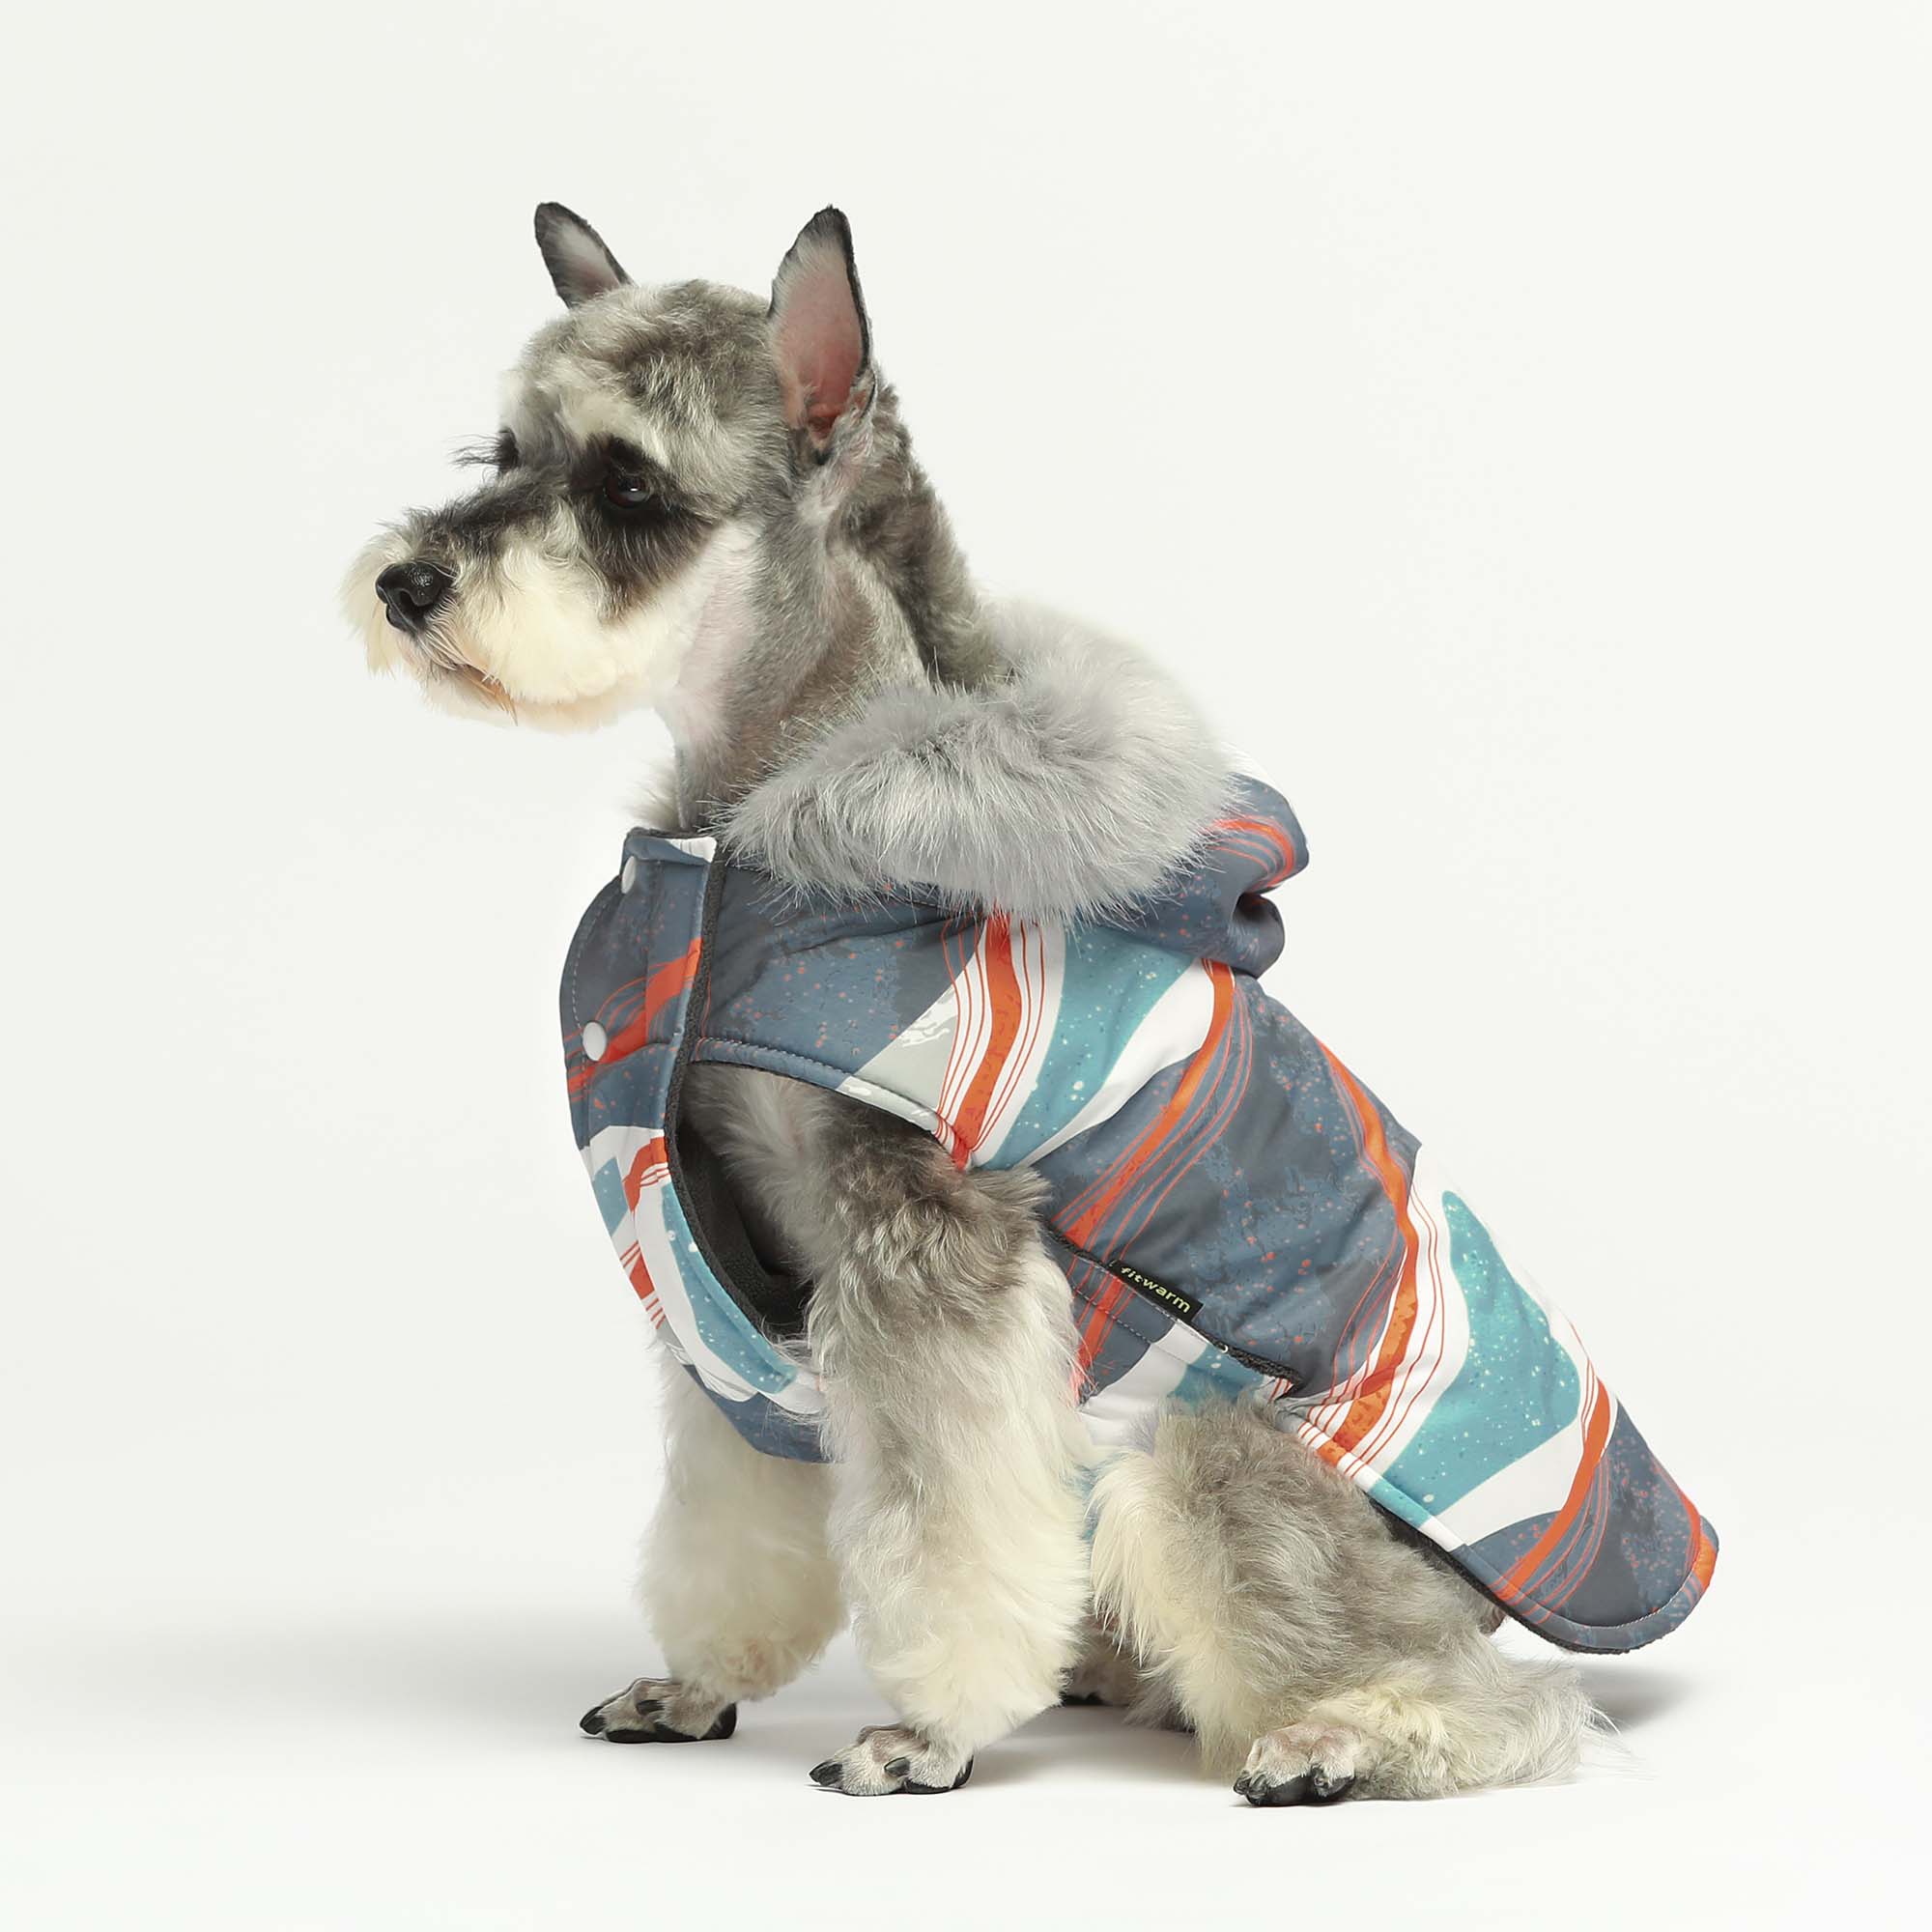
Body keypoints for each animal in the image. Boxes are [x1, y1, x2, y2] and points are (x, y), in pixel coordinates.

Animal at [346, 205, 1711, 1803]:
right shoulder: (725, 1261)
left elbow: (942, 1525)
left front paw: (927, 1733)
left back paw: (1334, 1736)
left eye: (628, 481)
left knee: (1507, 1698)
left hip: (1205, 1449)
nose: (406, 586)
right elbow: (732, 1498)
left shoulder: (926, 1248)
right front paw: (700, 1682)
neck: (755, 822)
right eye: (500, 454)